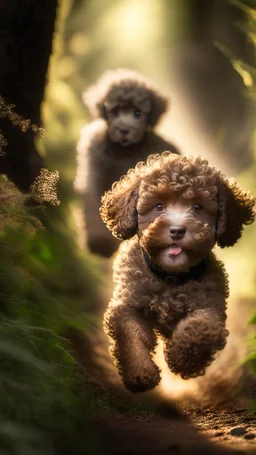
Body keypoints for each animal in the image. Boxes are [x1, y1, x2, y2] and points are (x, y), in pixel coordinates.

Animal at [73, 69, 179, 258]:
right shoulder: (94, 169)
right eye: (115, 111)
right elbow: (93, 205)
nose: (124, 130)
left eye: (137, 113)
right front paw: (99, 242)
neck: (122, 151)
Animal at [99, 152, 254, 392]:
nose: (177, 230)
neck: (170, 278)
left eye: (198, 207)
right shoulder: (126, 305)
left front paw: (182, 361)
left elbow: (199, 327)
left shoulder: (211, 306)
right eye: (158, 206)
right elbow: (131, 333)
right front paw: (140, 373)